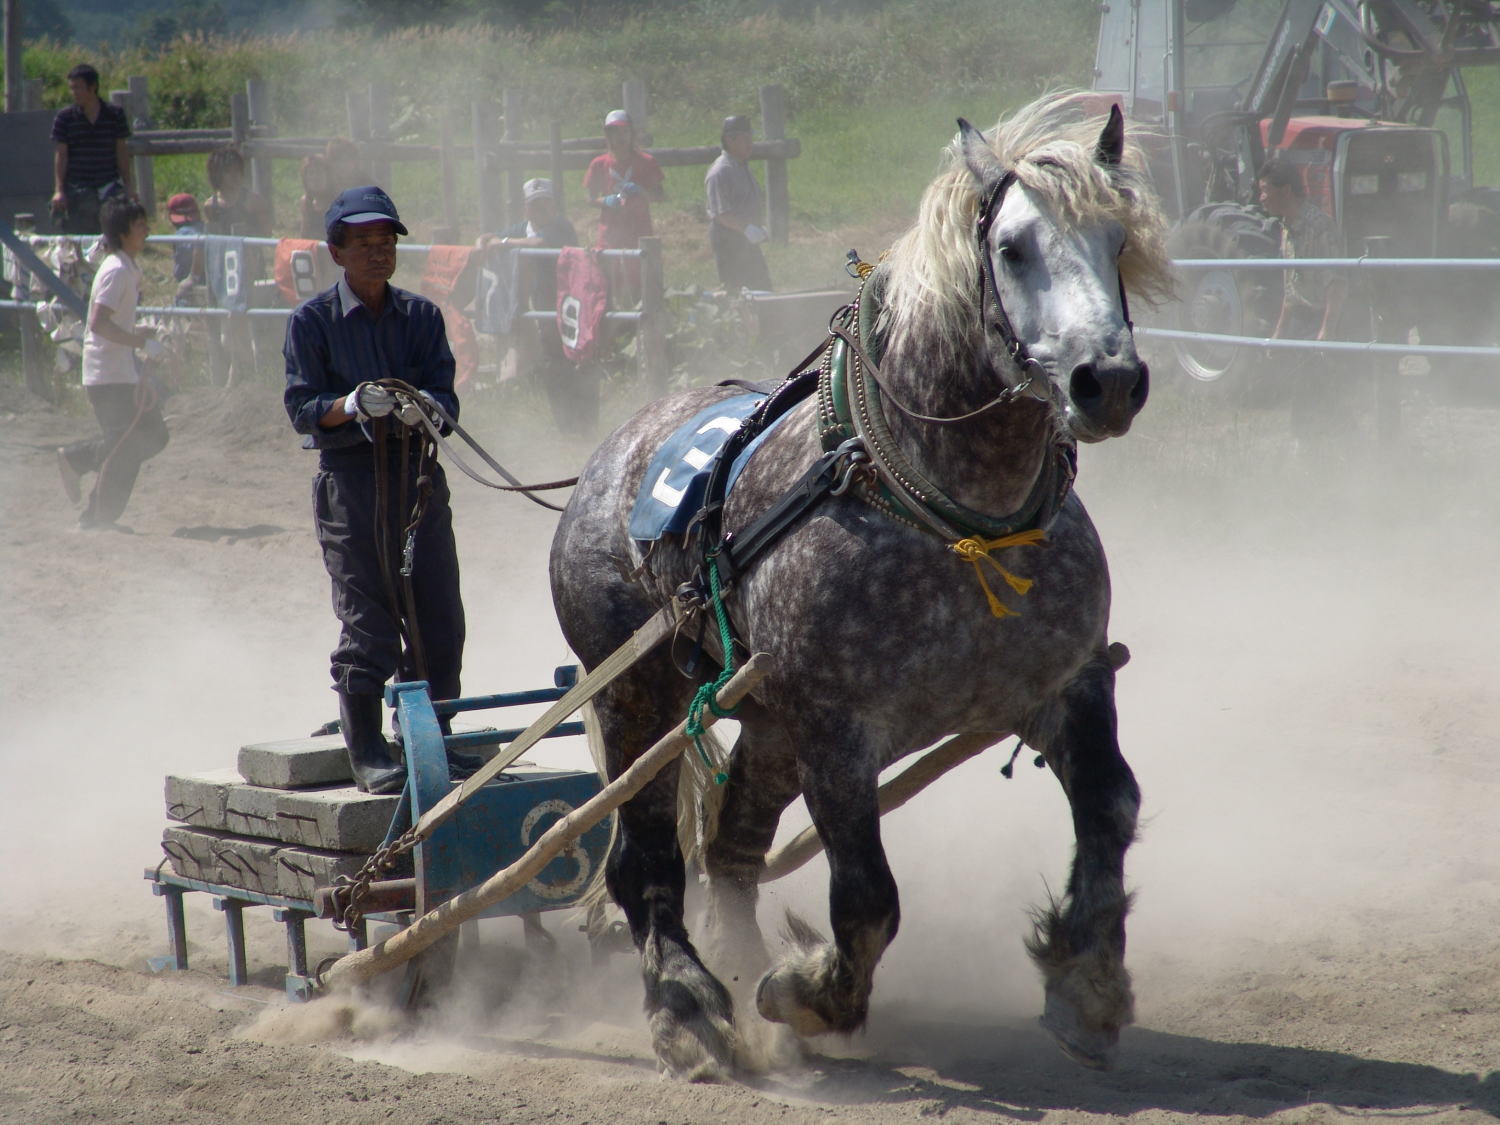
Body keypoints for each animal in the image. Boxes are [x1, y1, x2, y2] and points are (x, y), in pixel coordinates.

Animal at [552, 92, 1170, 1080]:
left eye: (1117, 240)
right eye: (1012, 248)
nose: (1106, 382)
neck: (959, 523)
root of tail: (610, 456)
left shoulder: (1069, 686)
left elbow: (1111, 806)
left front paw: (1087, 982)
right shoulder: (838, 732)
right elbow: (869, 896)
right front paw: (805, 992)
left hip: (766, 720)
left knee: (730, 844)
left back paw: (735, 964)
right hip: (637, 695)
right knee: (646, 858)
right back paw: (689, 1006)